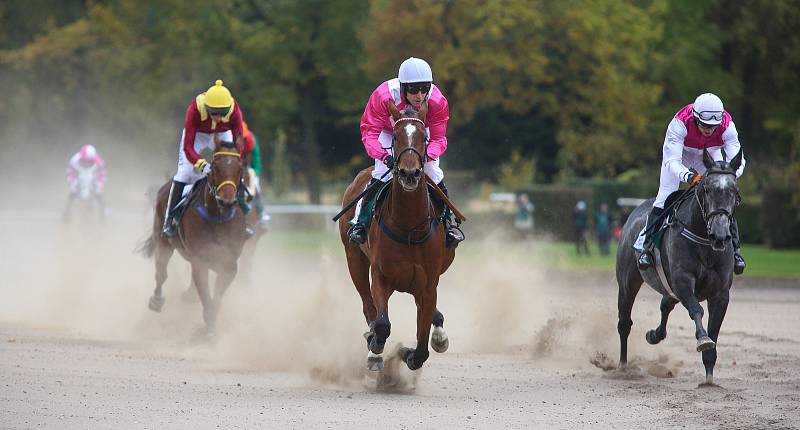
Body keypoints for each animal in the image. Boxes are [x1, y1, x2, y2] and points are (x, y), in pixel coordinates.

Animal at [139, 136, 247, 338]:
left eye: (240, 167)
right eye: (215, 166)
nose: (227, 202)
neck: (218, 217)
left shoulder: (229, 264)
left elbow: (216, 295)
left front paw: (209, 327)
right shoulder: (200, 260)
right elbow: (205, 293)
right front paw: (208, 331)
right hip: (163, 241)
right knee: (161, 273)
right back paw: (156, 300)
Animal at [336, 100, 456, 370]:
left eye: (424, 137)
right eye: (396, 137)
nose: (409, 173)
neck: (409, 227)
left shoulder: (428, 284)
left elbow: (421, 349)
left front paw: (410, 351)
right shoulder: (381, 276)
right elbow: (381, 324)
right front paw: (376, 350)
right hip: (354, 259)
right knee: (368, 306)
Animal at [620, 149, 744, 384]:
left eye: (735, 191)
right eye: (707, 189)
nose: (720, 235)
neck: (704, 240)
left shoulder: (721, 293)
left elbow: (714, 331)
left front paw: (709, 377)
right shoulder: (683, 280)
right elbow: (697, 310)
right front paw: (702, 338)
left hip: (668, 288)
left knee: (665, 305)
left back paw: (654, 335)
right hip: (628, 281)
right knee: (624, 322)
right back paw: (622, 366)